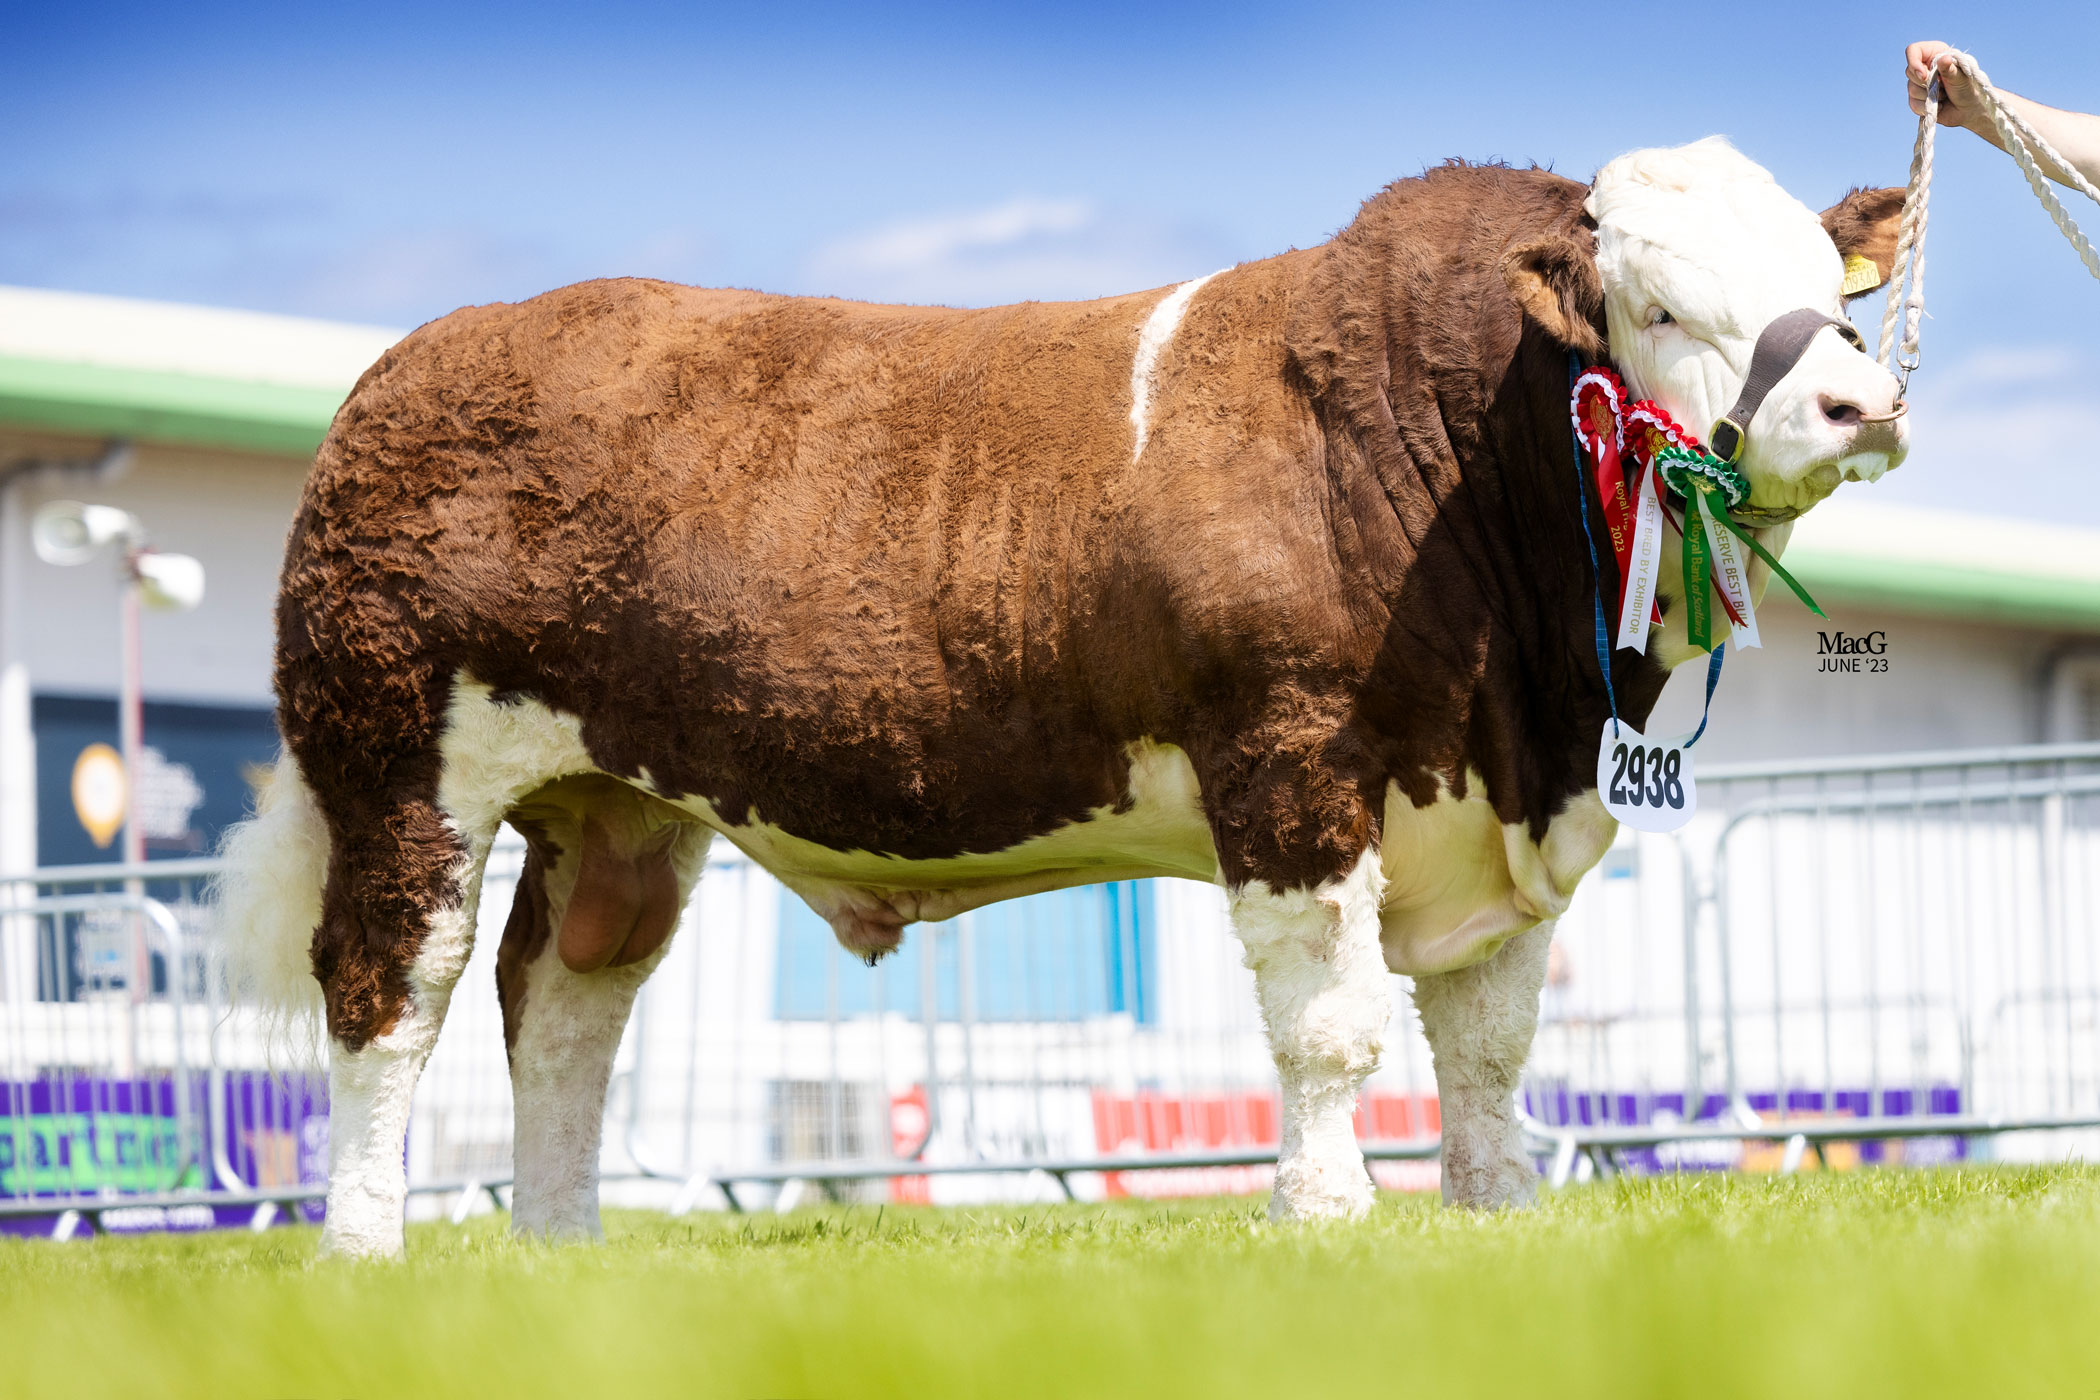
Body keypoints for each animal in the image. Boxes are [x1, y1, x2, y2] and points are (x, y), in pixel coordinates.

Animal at [218, 136, 1909, 1258]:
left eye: (1826, 285)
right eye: (1663, 311)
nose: (1863, 401)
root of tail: (419, 360)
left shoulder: (1506, 799)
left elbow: (1488, 1040)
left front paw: (1493, 1216)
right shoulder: (1290, 758)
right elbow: (1333, 1029)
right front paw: (1326, 1215)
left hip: (616, 805)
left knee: (564, 1002)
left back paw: (560, 1252)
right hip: (397, 768)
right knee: (392, 988)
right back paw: (364, 1246)